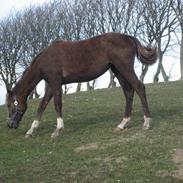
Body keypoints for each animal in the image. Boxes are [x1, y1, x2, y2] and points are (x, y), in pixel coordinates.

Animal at [5, 33, 157, 138]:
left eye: (9, 105)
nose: (10, 124)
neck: (45, 59)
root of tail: (128, 37)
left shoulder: (55, 82)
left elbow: (57, 104)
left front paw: (58, 130)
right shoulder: (51, 85)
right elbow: (42, 105)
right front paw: (31, 130)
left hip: (124, 68)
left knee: (139, 87)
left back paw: (147, 122)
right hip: (117, 70)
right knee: (128, 92)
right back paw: (122, 124)